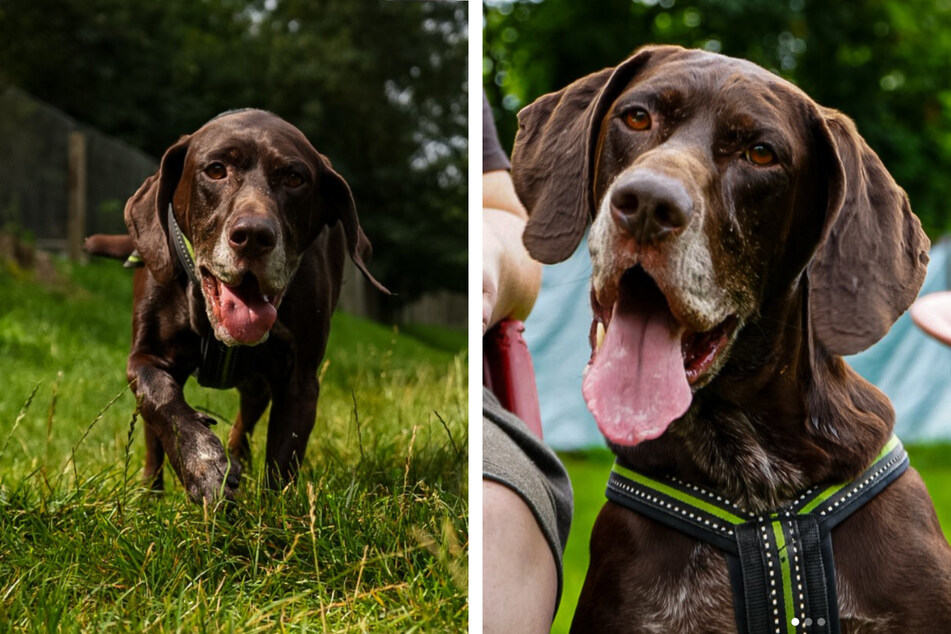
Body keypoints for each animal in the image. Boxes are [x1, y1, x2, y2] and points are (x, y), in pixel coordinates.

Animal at [84, 110, 386, 504]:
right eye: (215, 170)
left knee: (245, 421)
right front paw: (204, 465)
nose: (254, 236)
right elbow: (161, 400)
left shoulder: (300, 379)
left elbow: (282, 460)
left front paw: (273, 515)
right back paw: (152, 495)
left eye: (294, 178)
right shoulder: (145, 358)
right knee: (153, 438)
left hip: (258, 384)